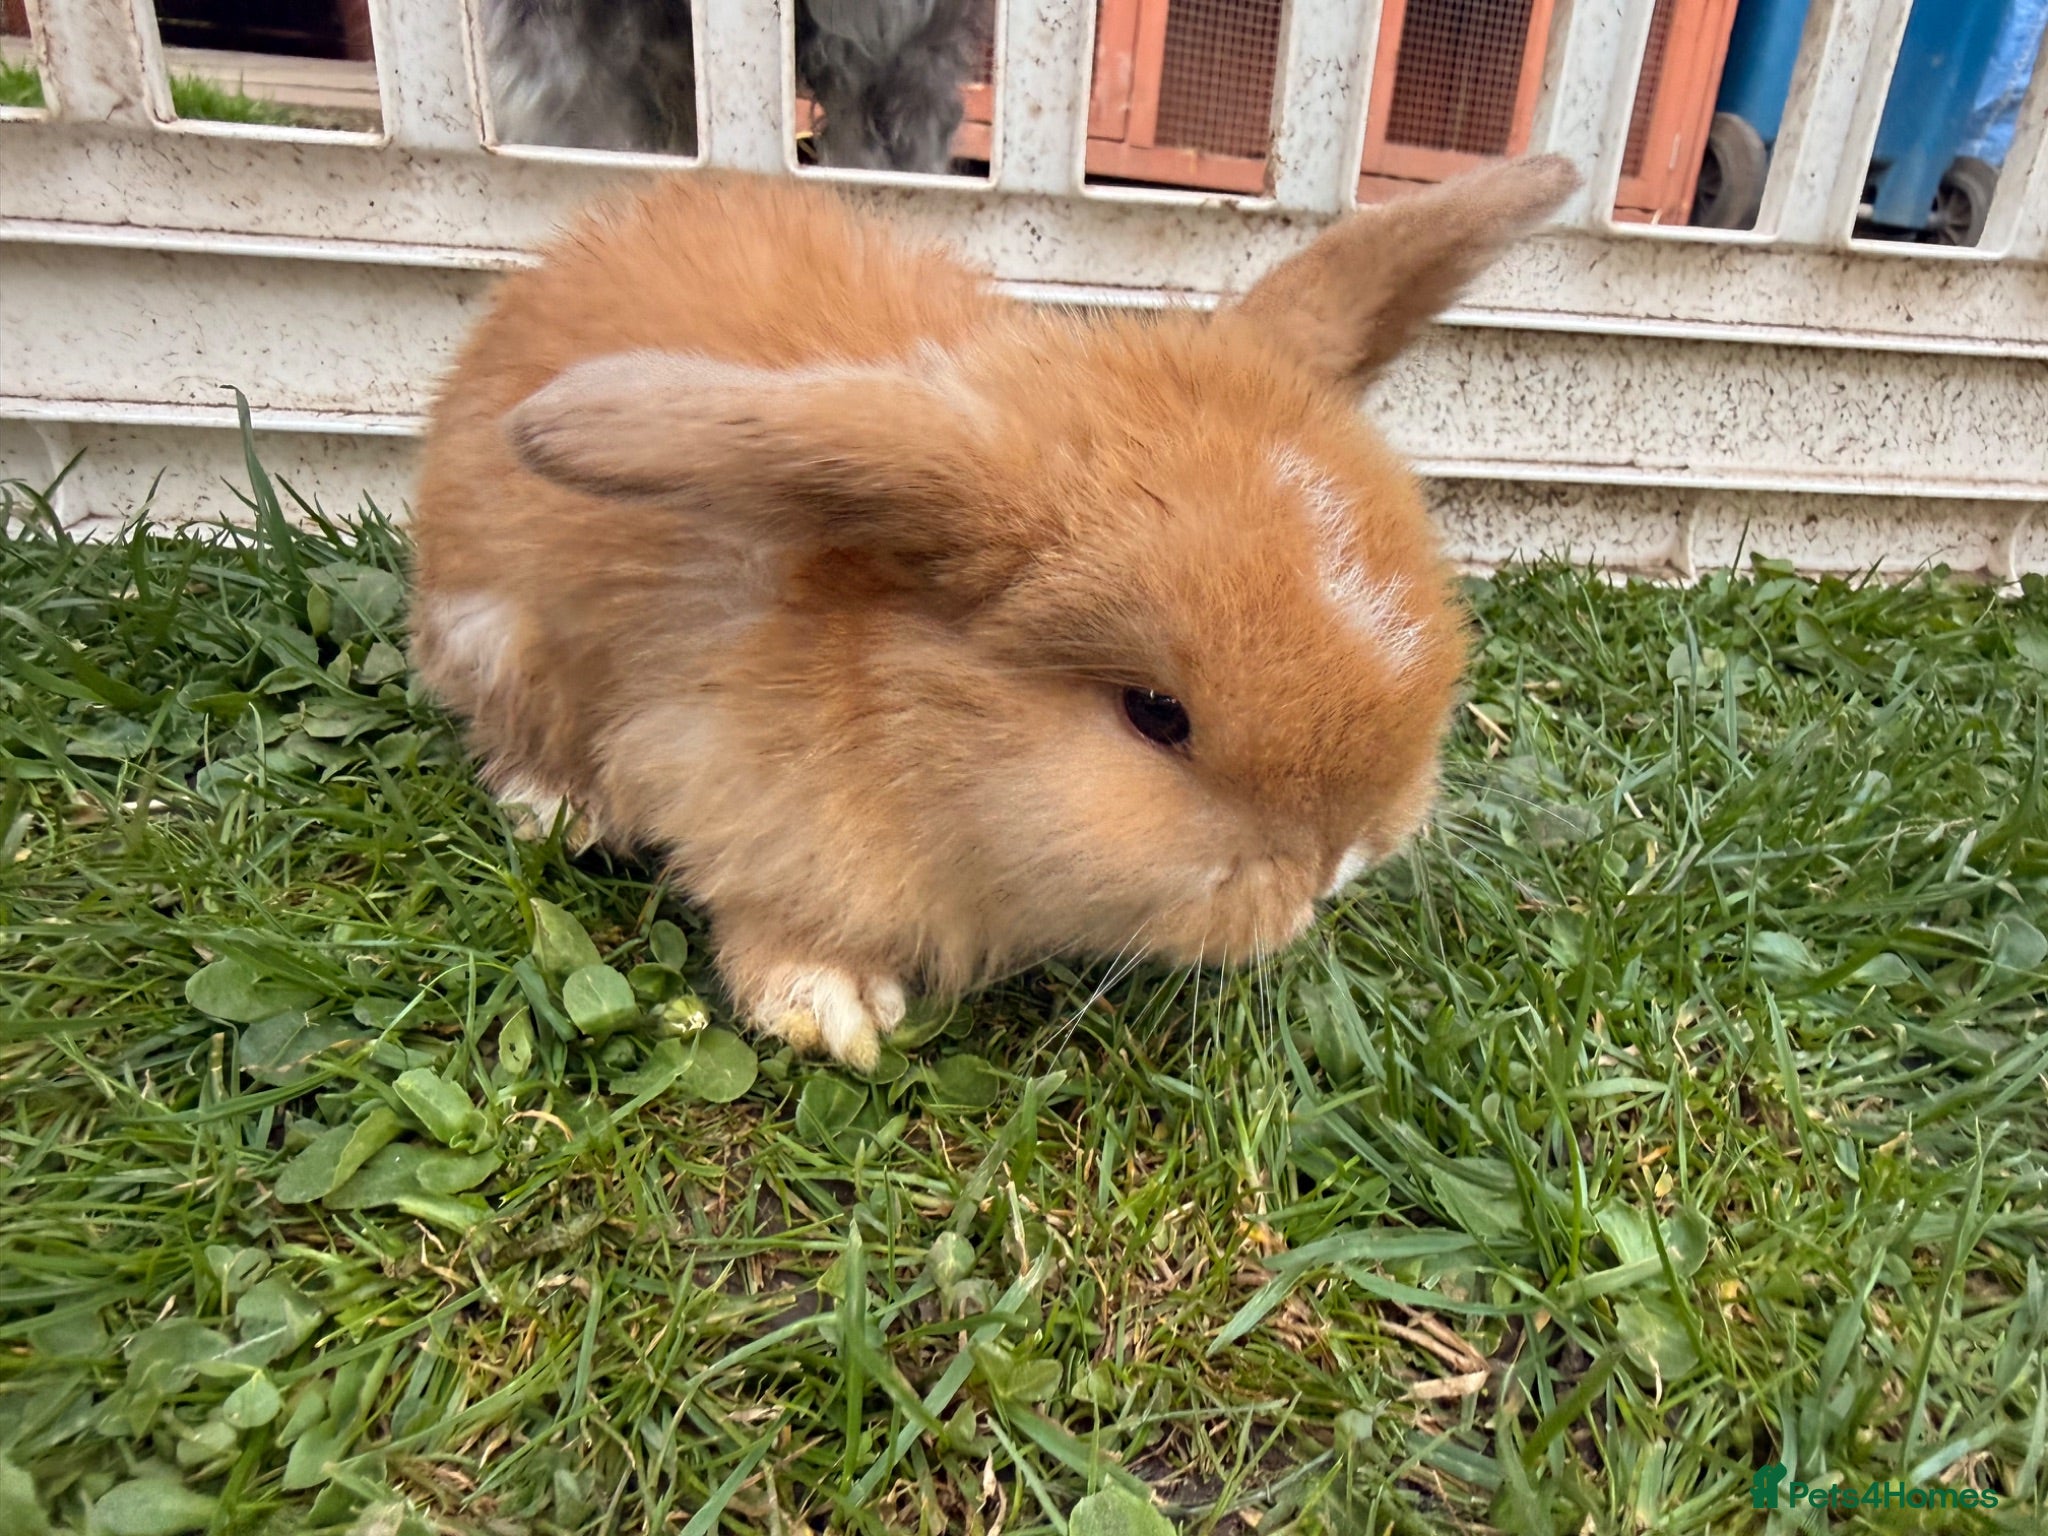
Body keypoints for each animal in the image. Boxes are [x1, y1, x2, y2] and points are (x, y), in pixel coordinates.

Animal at [410, 158, 1580, 1069]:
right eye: (1155, 714)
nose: (1339, 863)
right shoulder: (720, 767)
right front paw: (832, 1007)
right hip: (494, 638)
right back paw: (560, 808)